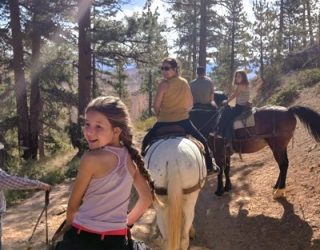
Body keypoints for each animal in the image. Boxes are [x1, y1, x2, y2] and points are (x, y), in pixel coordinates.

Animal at [190, 104, 320, 198]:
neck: (212, 123)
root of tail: (289, 110)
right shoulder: (226, 153)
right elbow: (226, 170)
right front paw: (227, 187)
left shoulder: (218, 154)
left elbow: (220, 171)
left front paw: (219, 190)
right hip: (281, 147)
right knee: (284, 165)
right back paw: (276, 186)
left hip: (277, 147)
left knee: (283, 165)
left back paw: (280, 190)